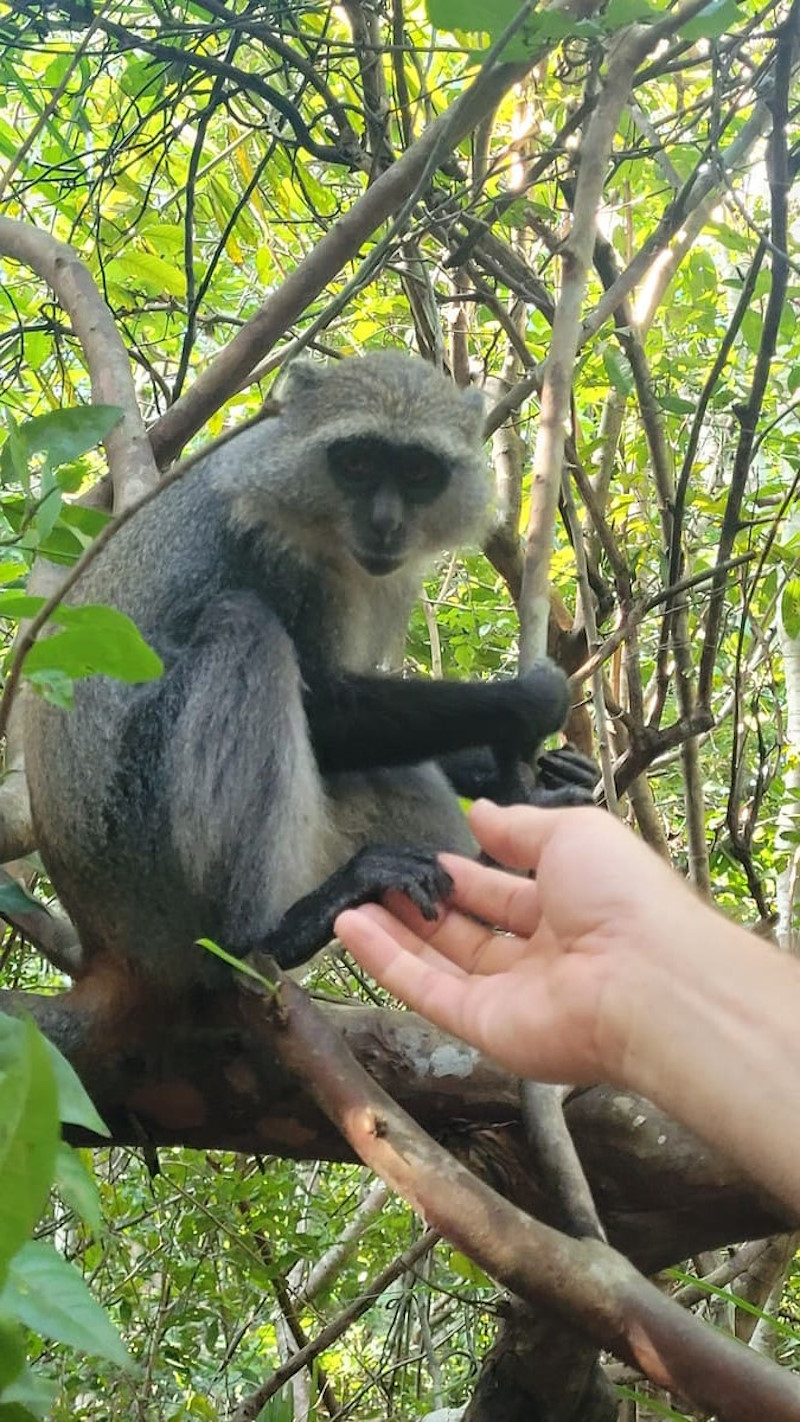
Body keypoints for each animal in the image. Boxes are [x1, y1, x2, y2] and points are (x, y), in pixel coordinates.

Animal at [25, 351, 582, 995]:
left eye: (419, 471)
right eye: (357, 462)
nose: (386, 522)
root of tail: (97, 929)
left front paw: (520, 775)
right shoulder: (271, 551)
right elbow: (324, 714)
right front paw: (524, 706)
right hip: (137, 847)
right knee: (246, 628)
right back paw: (274, 932)